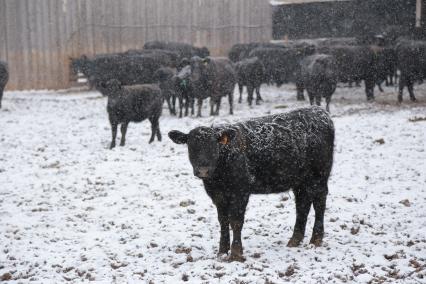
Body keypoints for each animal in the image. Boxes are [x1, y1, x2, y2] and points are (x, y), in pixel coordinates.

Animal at [168, 107, 334, 262]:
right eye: (191, 147)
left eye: (213, 147)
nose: (203, 170)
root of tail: (319, 111)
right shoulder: (217, 195)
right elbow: (223, 221)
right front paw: (222, 252)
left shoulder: (240, 191)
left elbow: (236, 221)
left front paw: (236, 253)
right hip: (300, 181)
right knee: (302, 205)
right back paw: (295, 240)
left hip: (319, 176)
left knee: (319, 203)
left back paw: (316, 239)